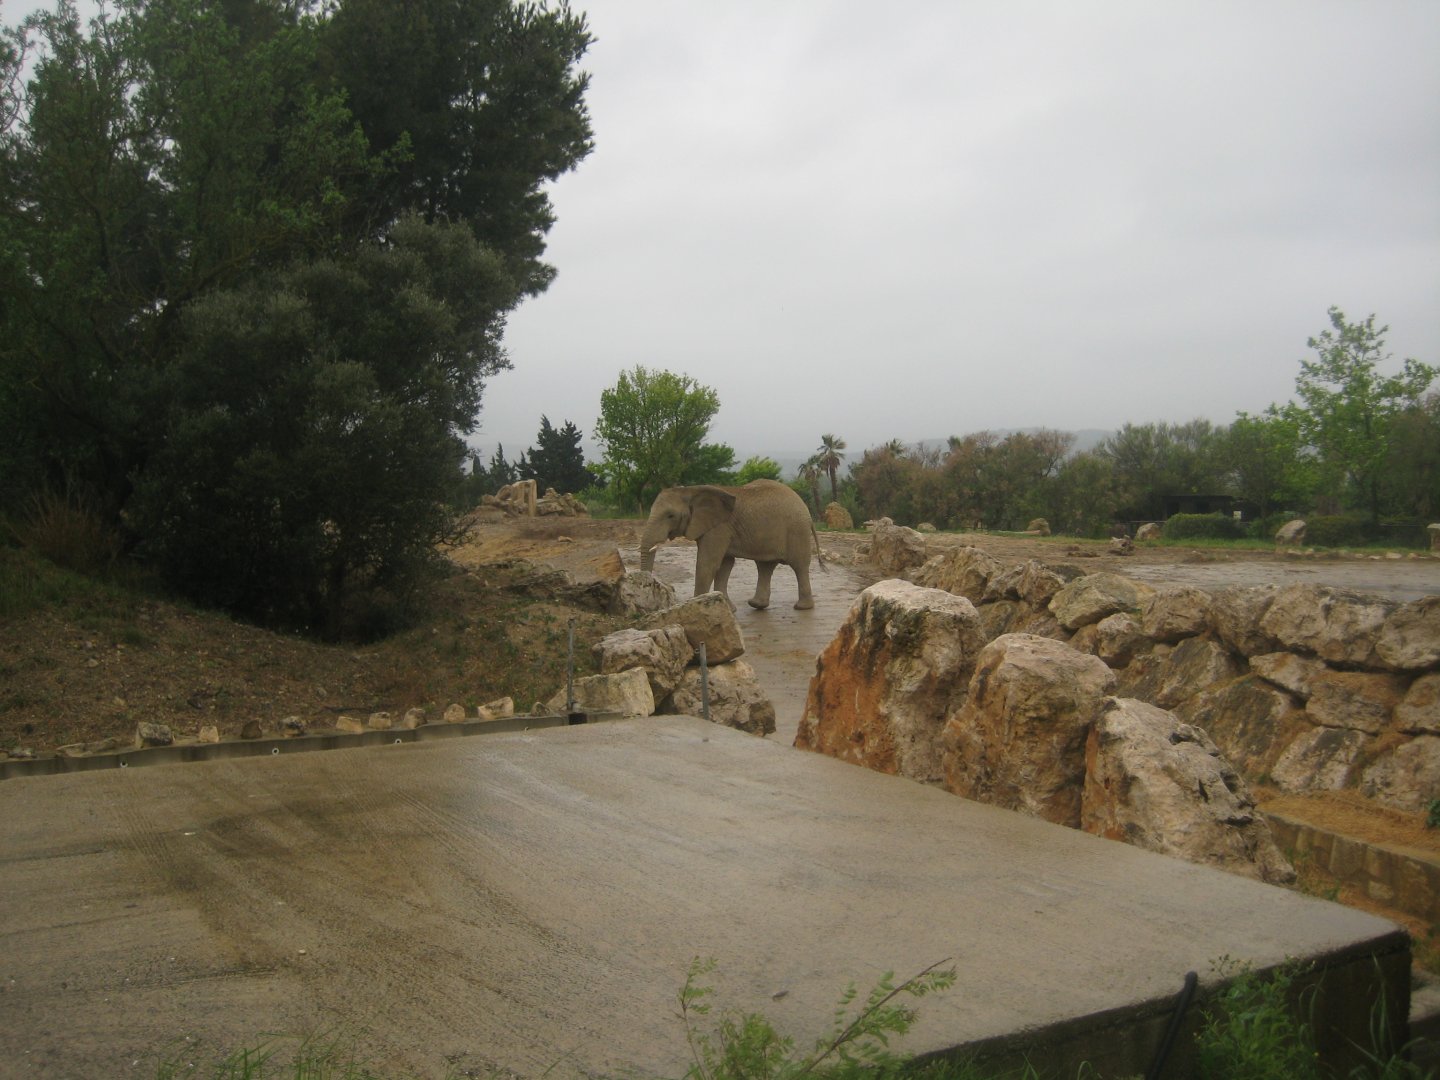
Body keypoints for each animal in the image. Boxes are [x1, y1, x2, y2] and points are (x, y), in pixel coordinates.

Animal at [639, 479, 823, 610]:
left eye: (670, 516)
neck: (691, 490)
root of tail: (807, 512)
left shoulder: (719, 528)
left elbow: (708, 563)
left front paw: (696, 604)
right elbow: (724, 565)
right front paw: (728, 608)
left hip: (797, 530)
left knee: (799, 566)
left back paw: (802, 608)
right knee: (765, 566)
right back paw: (756, 605)